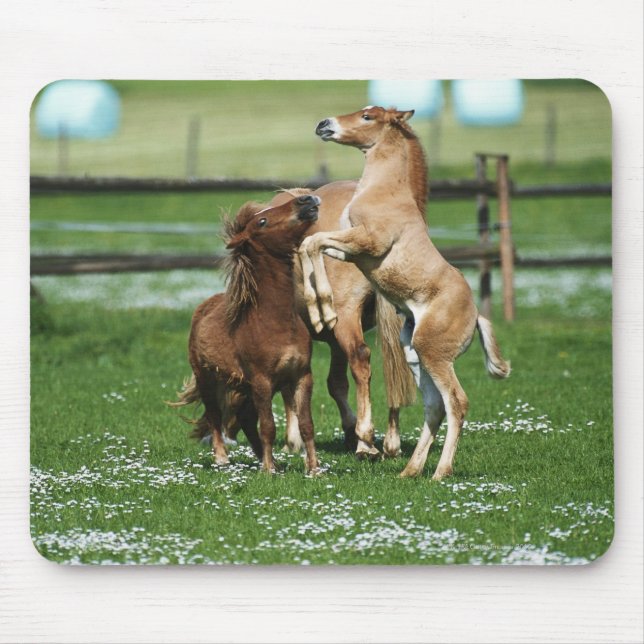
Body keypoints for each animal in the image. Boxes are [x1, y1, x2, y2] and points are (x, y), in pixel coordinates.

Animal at [171, 194, 322, 474]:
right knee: (215, 416)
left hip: (246, 388)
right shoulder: (262, 380)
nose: (306, 200)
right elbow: (269, 426)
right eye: (262, 221)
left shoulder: (301, 377)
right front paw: (269, 471)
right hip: (208, 379)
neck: (276, 323)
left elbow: (306, 425)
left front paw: (313, 470)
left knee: (245, 418)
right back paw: (222, 458)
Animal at [299, 106, 511, 480]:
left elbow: (315, 241)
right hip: (414, 352)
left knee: (456, 403)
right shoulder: (350, 250)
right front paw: (318, 307)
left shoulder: (367, 243)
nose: (324, 124)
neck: (385, 191)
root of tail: (476, 316)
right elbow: (311, 244)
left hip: (434, 353)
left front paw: (323, 307)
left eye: (368, 116)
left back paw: (440, 472)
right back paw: (410, 470)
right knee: (434, 407)